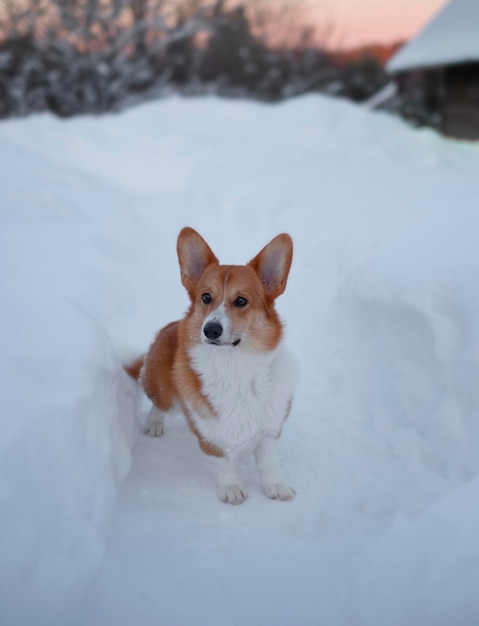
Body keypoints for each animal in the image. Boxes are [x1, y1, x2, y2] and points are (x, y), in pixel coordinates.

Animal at [125, 225, 294, 502]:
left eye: (241, 301)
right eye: (206, 297)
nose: (211, 329)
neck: (234, 367)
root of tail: (168, 328)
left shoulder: (271, 429)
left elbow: (268, 462)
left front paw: (275, 485)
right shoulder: (208, 434)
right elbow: (222, 462)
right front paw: (232, 488)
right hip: (160, 385)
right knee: (158, 403)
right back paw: (155, 424)